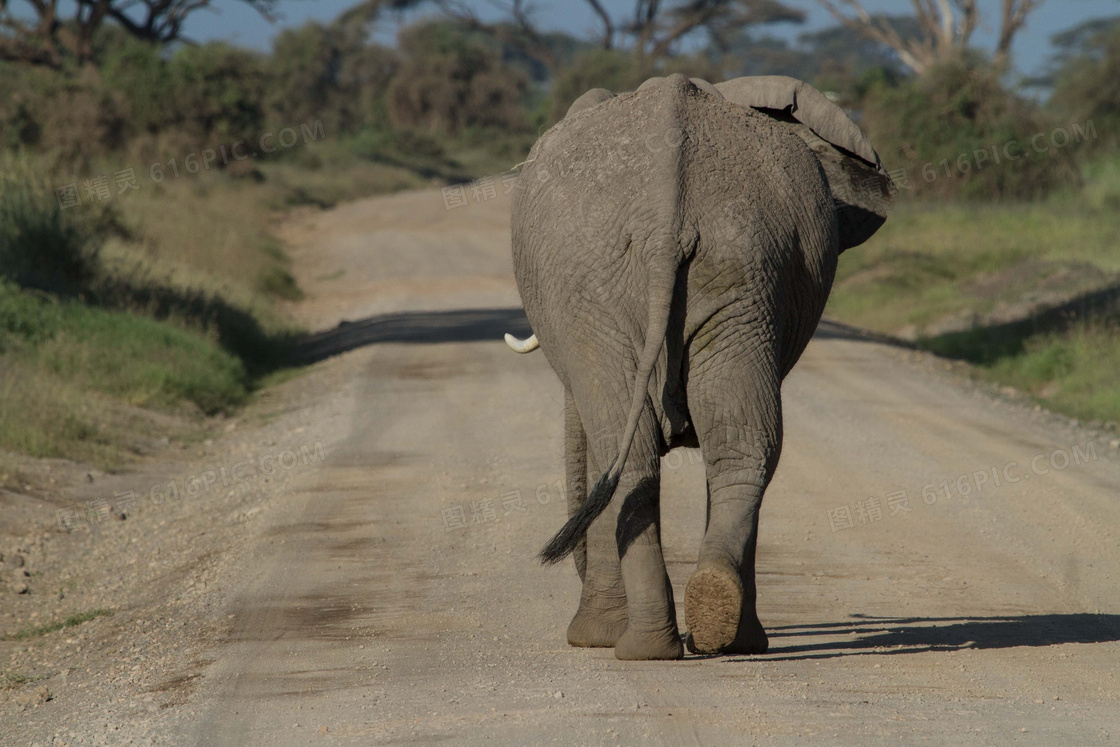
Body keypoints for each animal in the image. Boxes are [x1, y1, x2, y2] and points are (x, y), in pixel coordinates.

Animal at [506, 74, 891, 658]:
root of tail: (667, 215)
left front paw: (591, 638)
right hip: (742, 269)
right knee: (741, 443)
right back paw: (721, 629)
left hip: (608, 288)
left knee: (632, 450)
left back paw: (639, 646)